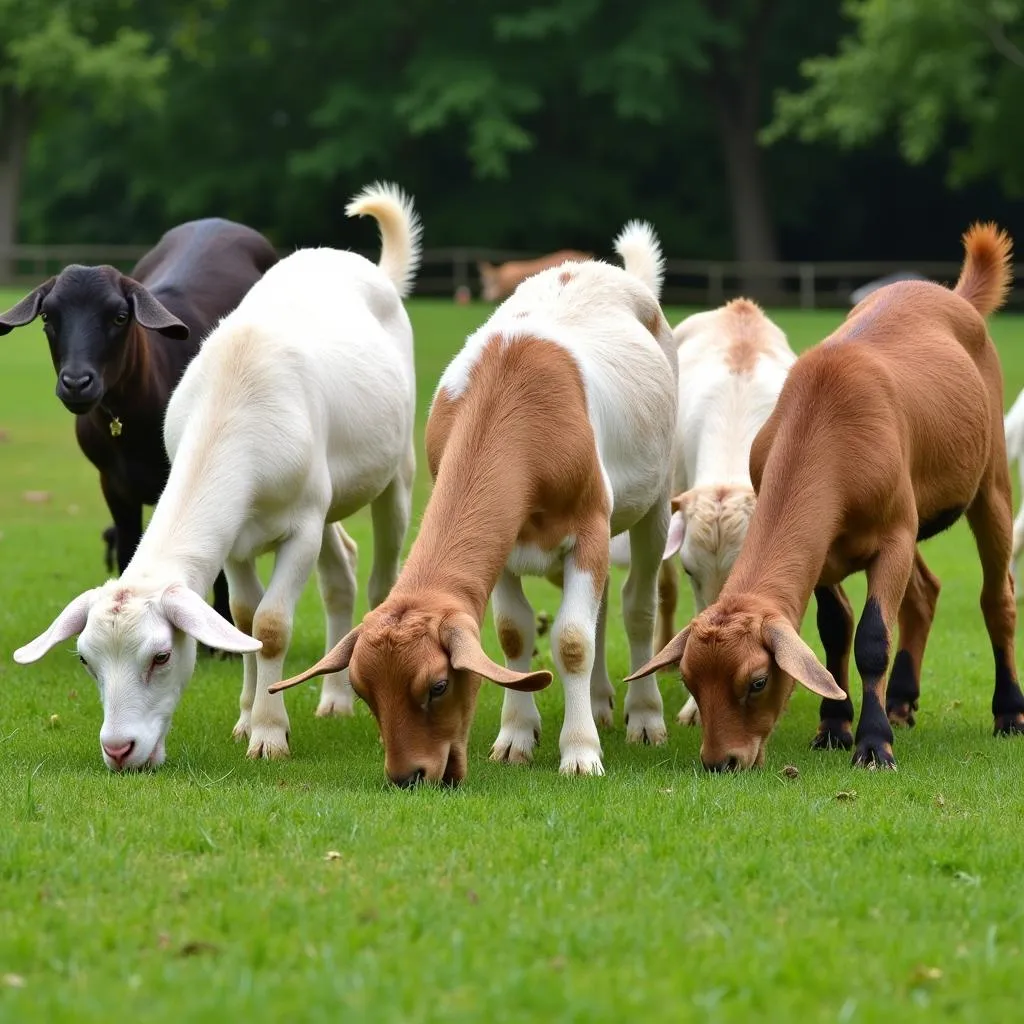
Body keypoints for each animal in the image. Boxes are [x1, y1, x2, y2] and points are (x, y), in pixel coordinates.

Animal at [0, 218, 280, 622]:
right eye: (48, 318)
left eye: (119, 317)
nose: (76, 382)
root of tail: (219, 223)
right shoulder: (113, 485)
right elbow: (127, 552)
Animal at [270, 222, 679, 782]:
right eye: (363, 691)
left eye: (438, 685)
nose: (408, 775)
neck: (512, 402)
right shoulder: (506, 545)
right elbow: (513, 632)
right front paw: (516, 737)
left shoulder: (590, 525)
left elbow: (572, 640)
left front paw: (579, 753)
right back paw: (598, 705)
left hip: (656, 499)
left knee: (637, 605)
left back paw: (644, 717)